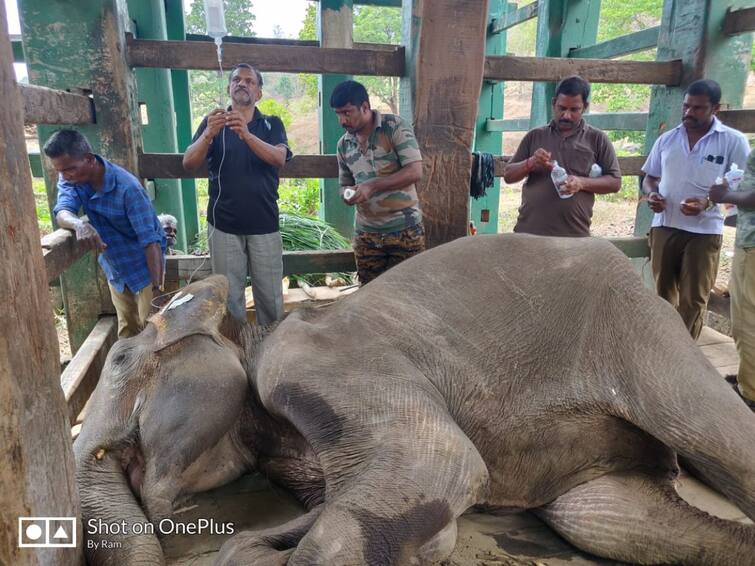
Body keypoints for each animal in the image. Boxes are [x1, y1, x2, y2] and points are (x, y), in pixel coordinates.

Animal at [72, 233, 755, 564]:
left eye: (122, 359)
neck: (252, 332)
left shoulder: (316, 365)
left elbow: (442, 466)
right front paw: (252, 548)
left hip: (638, 327)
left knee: (713, 434)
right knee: (609, 523)